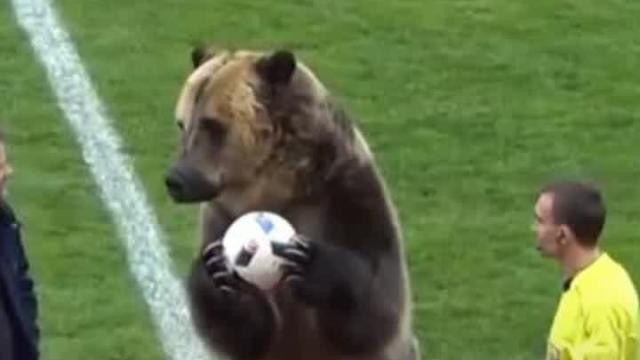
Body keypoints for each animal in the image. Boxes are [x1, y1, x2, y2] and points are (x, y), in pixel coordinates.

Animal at [165, 47, 420, 360]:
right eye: (182, 123)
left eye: (213, 125)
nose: (176, 179)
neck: (278, 188)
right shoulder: (221, 217)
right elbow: (247, 332)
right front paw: (215, 271)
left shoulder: (346, 193)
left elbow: (380, 302)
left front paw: (310, 263)